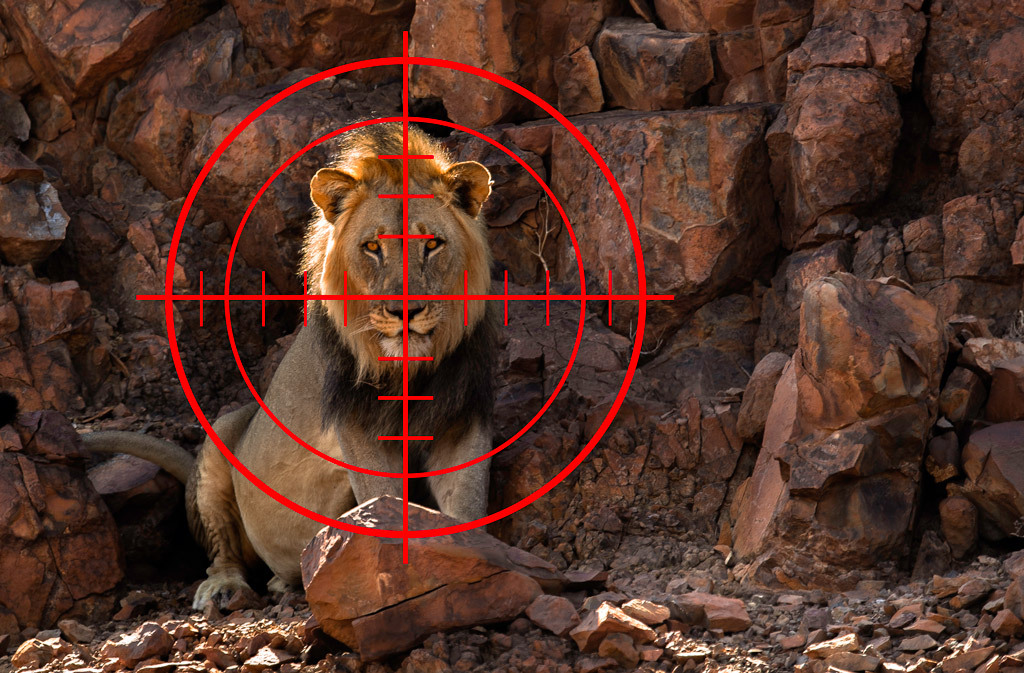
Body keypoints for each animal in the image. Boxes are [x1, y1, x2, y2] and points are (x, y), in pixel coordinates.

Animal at [84, 123, 498, 609]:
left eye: (431, 244)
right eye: (372, 247)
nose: (405, 311)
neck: (413, 370)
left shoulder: (464, 417)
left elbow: (468, 499)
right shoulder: (357, 427)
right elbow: (385, 499)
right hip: (221, 437)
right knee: (223, 551)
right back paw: (228, 587)